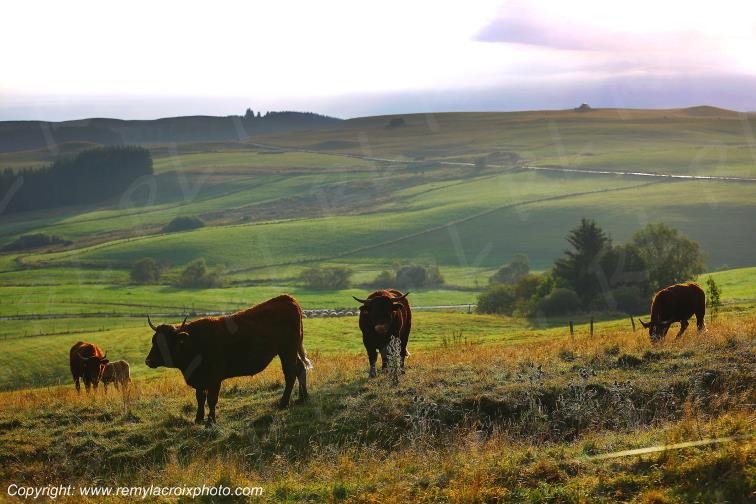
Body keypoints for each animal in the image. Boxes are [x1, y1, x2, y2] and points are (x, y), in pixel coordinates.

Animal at [144, 294, 312, 425]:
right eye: (153, 341)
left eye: (165, 343)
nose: (148, 361)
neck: (194, 341)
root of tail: (287, 299)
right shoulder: (199, 378)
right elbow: (200, 397)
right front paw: (198, 419)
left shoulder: (214, 378)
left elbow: (211, 399)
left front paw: (211, 421)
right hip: (291, 351)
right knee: (300, 368)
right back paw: (303, 398)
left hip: (287, 351)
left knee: (290, 373)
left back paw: (283, 403)